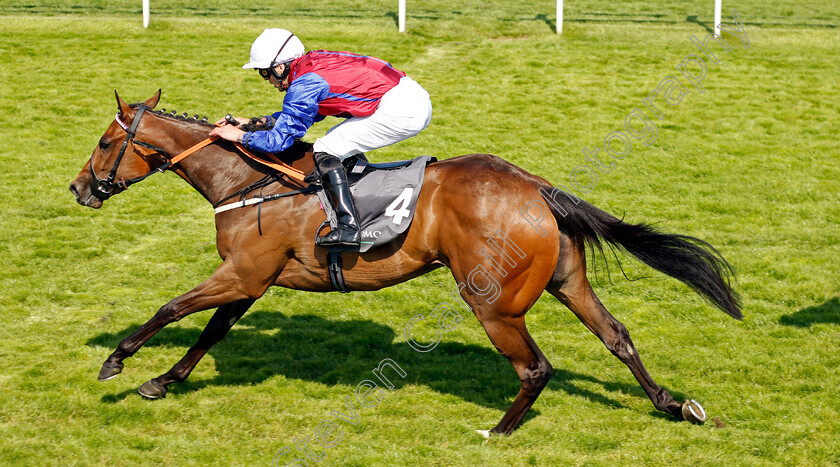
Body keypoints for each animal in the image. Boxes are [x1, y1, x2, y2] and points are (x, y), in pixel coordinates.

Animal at [72, 90, 740, 436]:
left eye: (105, 143)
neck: (251, 182)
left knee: (535, 367)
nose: (80, 188)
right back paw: (673, 405)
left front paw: (116, 362)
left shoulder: (242, 272)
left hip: (493, 300)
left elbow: (171, 307)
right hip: (565, 280)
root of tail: (536, 187)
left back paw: (499, 430)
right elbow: (210, 330)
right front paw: (162, 380)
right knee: (617, 336)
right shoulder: (254, 279)